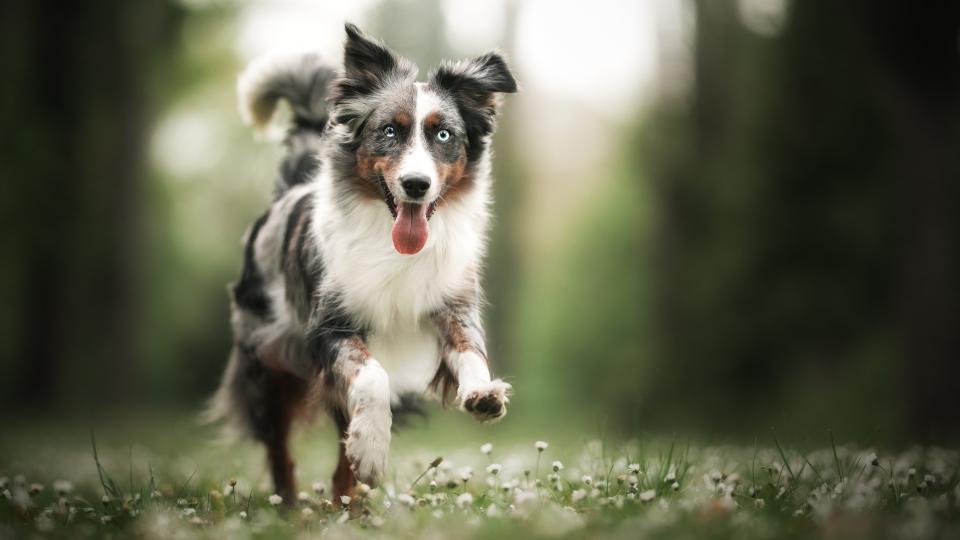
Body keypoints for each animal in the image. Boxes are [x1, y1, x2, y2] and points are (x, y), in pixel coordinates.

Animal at [208, 21, 516, 502]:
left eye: (444, 135)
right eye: (390, 131)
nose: (416, 184)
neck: (393, 243)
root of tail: (289, 190)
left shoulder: (453, 302)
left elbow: (471, 348)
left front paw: (483, 392)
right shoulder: (328, 326)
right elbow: (373, 379)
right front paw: (372, 449)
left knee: (338, 456)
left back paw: (348, 502)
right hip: (268, 360)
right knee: (278, 441)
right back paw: (289, 503)